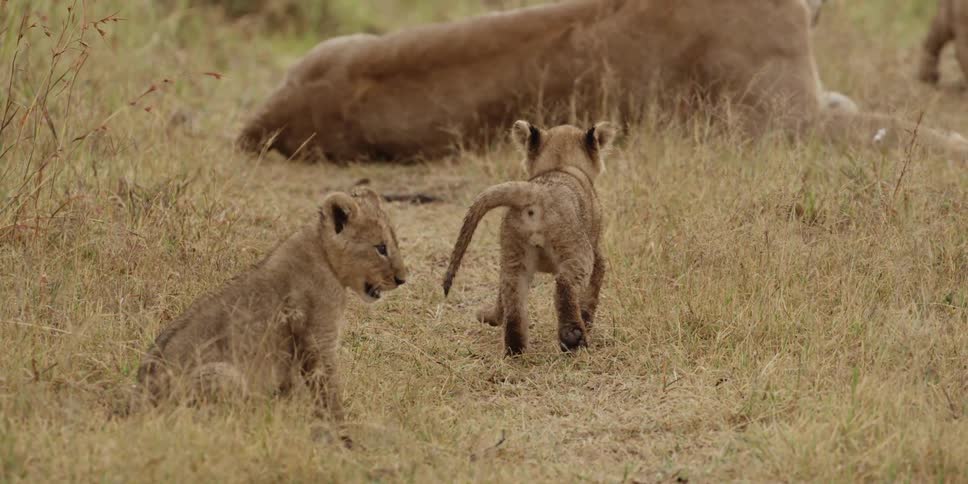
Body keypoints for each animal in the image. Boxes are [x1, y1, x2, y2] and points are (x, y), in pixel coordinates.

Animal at [136, 187, 408, 426]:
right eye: (381, 248)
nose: (402, 279)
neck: (322, 251)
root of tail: (140, 395)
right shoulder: (318, 336)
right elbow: (327, 385)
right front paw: (340, 426)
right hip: (225, 375)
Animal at [442, 119, 614, 355]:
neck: (561, 165)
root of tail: (536, 192)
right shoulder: (597, 252)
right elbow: (592, 292)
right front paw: (587, 322)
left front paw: (491, 317)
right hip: (577, 249)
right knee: (564, 285)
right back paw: (572, 337)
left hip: (514, 253)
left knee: (512, 296)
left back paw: (515, 349)